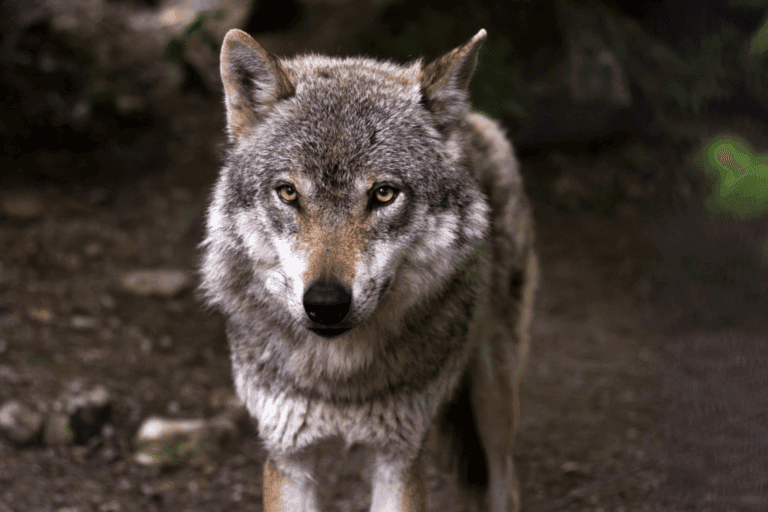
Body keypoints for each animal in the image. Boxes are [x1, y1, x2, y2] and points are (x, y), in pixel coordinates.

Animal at [199, 27, 538, 512]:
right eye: (288, 192)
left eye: (383, 194)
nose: (325, 304)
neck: (339, 379)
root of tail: (473, 119)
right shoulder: (287, 456)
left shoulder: (399, 456)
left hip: (494, 401)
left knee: (505, 483)